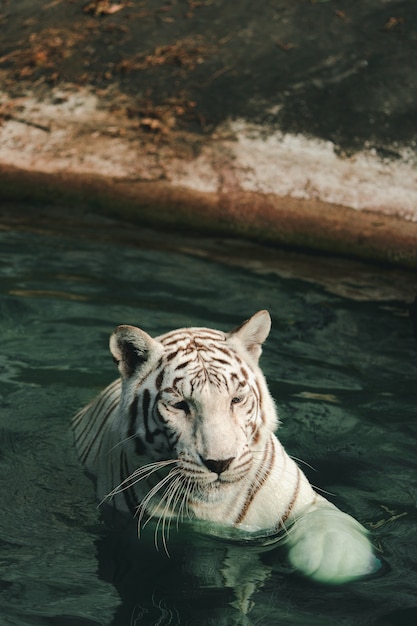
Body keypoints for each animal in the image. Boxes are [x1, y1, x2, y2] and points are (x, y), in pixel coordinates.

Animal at [71, 310, 376, 584]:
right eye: (180, 405)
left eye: (236, 400)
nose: (219, 463)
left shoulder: (306, 504)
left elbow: (331, 531)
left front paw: (338, 563)